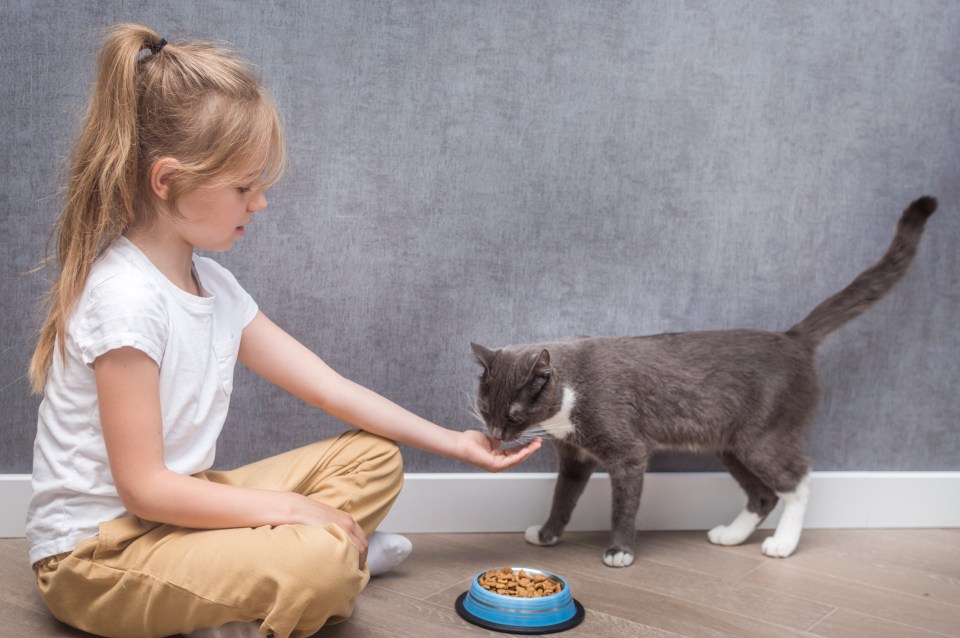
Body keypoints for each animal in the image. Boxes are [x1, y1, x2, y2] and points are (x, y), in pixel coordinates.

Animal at [472, 198, 936, 568]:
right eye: (485, 409)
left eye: (513, 414)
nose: (494, 434)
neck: (568, 397)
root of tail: (793, 338)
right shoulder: (575, 457)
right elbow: (563, 496)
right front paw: (547, 534)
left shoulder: (628, 452)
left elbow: (623, 506)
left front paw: (619, 551)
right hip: (730, 444)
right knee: (764, 495)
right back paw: (730, 535)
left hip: (762, 438)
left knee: (798, 482)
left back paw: (783, 544)